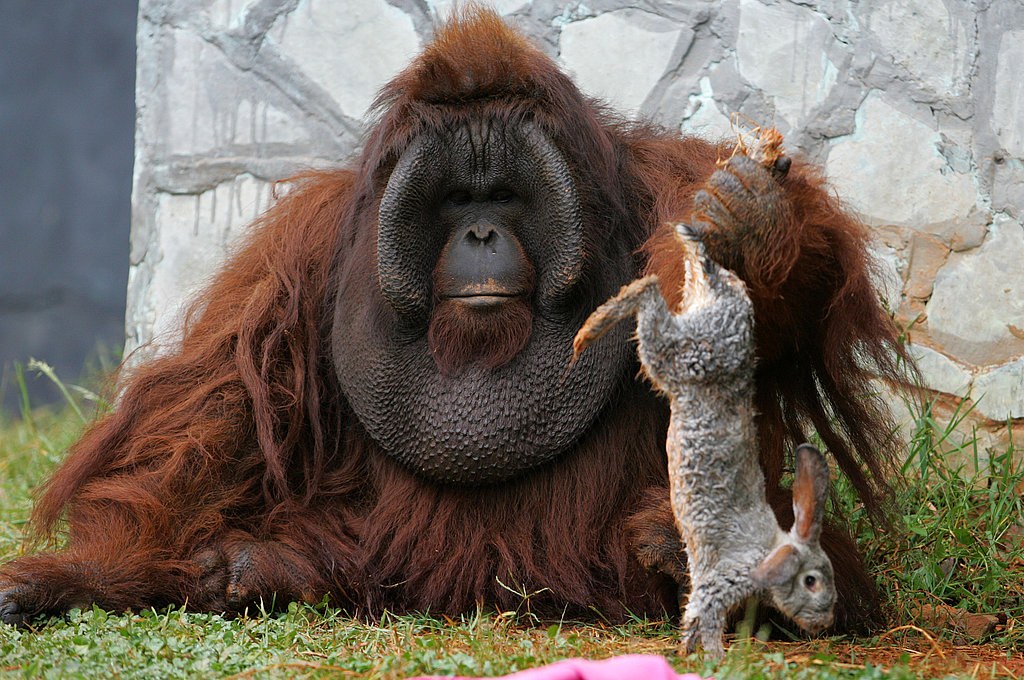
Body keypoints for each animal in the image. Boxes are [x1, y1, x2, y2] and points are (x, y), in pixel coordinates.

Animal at [573, 227, 835, 659]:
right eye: (811, 581)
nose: (826, 621)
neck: (770, 550)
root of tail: (723, 292)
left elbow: (695, 621)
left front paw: (689, 653)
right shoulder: (718, 585)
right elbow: (705, 621)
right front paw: (712, 660)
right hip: (678, 359)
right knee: (648, 293)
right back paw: (588, 332)